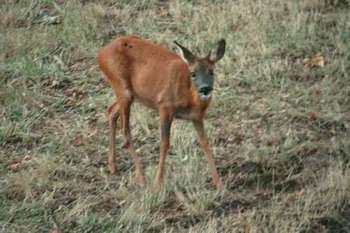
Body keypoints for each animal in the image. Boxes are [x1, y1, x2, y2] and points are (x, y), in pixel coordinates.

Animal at [97, 35, 226, 190]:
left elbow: (205, 143)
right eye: (193, 74)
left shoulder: (197, 117)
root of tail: (101, 53)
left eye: (211, 71)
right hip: (122, 87)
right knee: (126, 130)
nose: (205, 88)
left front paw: (219, 183)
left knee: (111, 111)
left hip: (129, 94)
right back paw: (141, 177)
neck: (189, 97)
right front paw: (158, 184)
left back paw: (113, 166)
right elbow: (165, 144)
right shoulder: (164, 106)